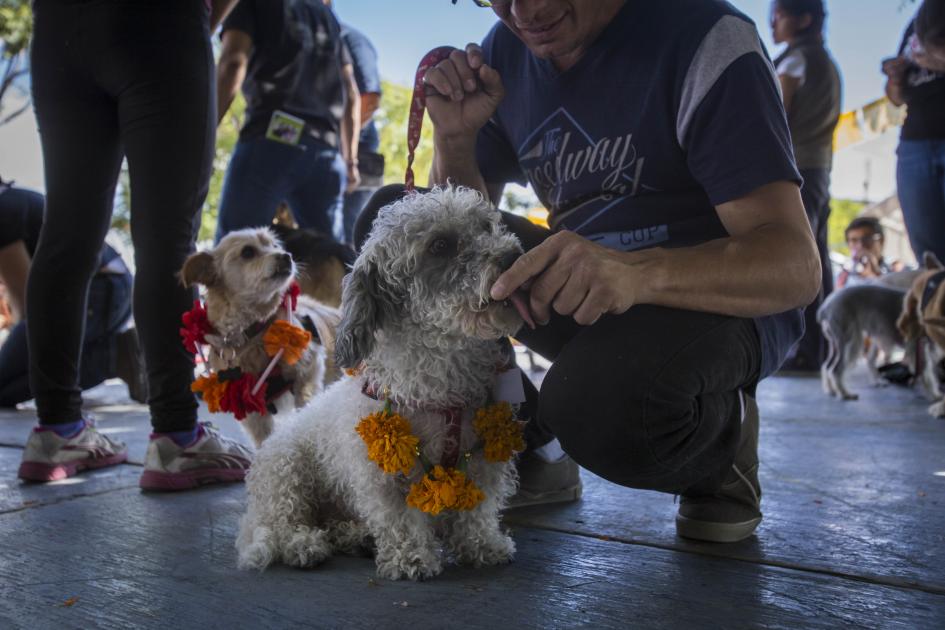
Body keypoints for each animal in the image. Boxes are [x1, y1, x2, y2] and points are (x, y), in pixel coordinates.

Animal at [235, 186, 532, 584]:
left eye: (487, 225)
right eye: (440, 245)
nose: (515, 257)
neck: (441, 378)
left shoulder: (483, 459)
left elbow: (477, 510)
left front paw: (483, 545)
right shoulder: (382, 473)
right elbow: (399, 517)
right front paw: (412, 559)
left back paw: (354, 535)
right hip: (287, 473)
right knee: (278, 525)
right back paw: (302, 544)